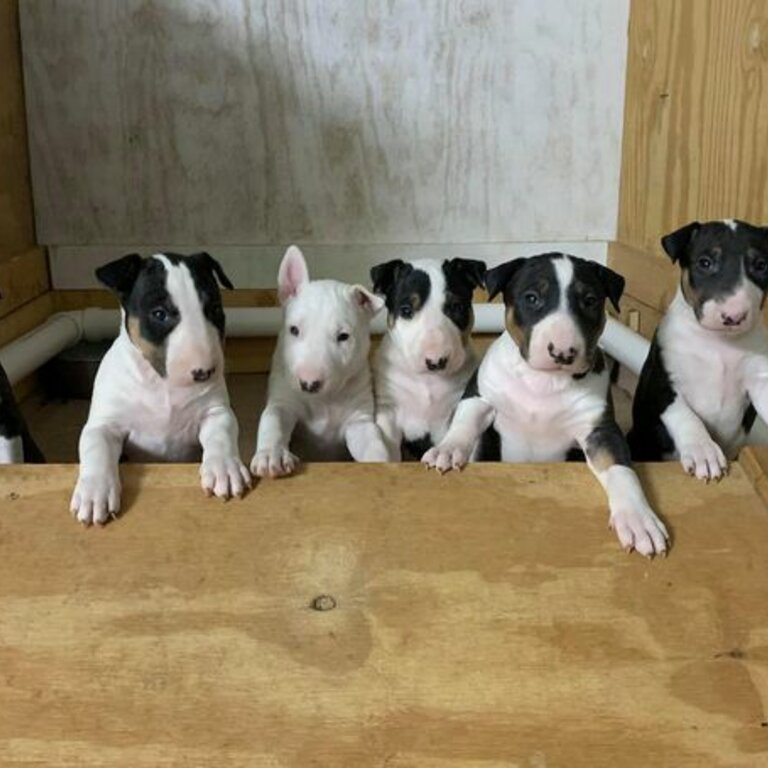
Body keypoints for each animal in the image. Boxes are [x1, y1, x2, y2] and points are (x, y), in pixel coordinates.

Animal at [71, 249, 248, 524]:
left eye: (215, 309)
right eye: (159, 314)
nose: (204, 373)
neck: (162, 385)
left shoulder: (216, 412)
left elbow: (221, 434)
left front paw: (225, 470)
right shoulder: (104, 424)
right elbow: (95, 446)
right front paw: (93, 494)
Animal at [252, 246, 390, 476]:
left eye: (343, 336)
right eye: (294, 330)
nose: (309, 384)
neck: (323, 400)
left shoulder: (358, 420)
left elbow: (372, 442)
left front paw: (381, 463)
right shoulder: (283, 400)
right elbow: (274, 421)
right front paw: (271, 456)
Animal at [368, 258, 486, 462]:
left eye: (457, 307)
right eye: (406, 310)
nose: (436, 361)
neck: (428, 381)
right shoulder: (388, 409)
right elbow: (388, 446)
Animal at [424, 252, 668, 560]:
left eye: (590, 300)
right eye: (531, 298)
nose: (563, 353)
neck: (544, 382)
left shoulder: (599, 430)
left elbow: (620, 469)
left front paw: (639, 520)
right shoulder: (480, 396)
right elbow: (464, 421)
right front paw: (446, 450)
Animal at [628, 218, 768, 480]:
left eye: (761, 265)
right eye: (705, 262)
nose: (733, 317)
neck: (719, 342)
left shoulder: (758, 377)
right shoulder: (664, 384)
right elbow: (688, 416)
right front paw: (704, 452)